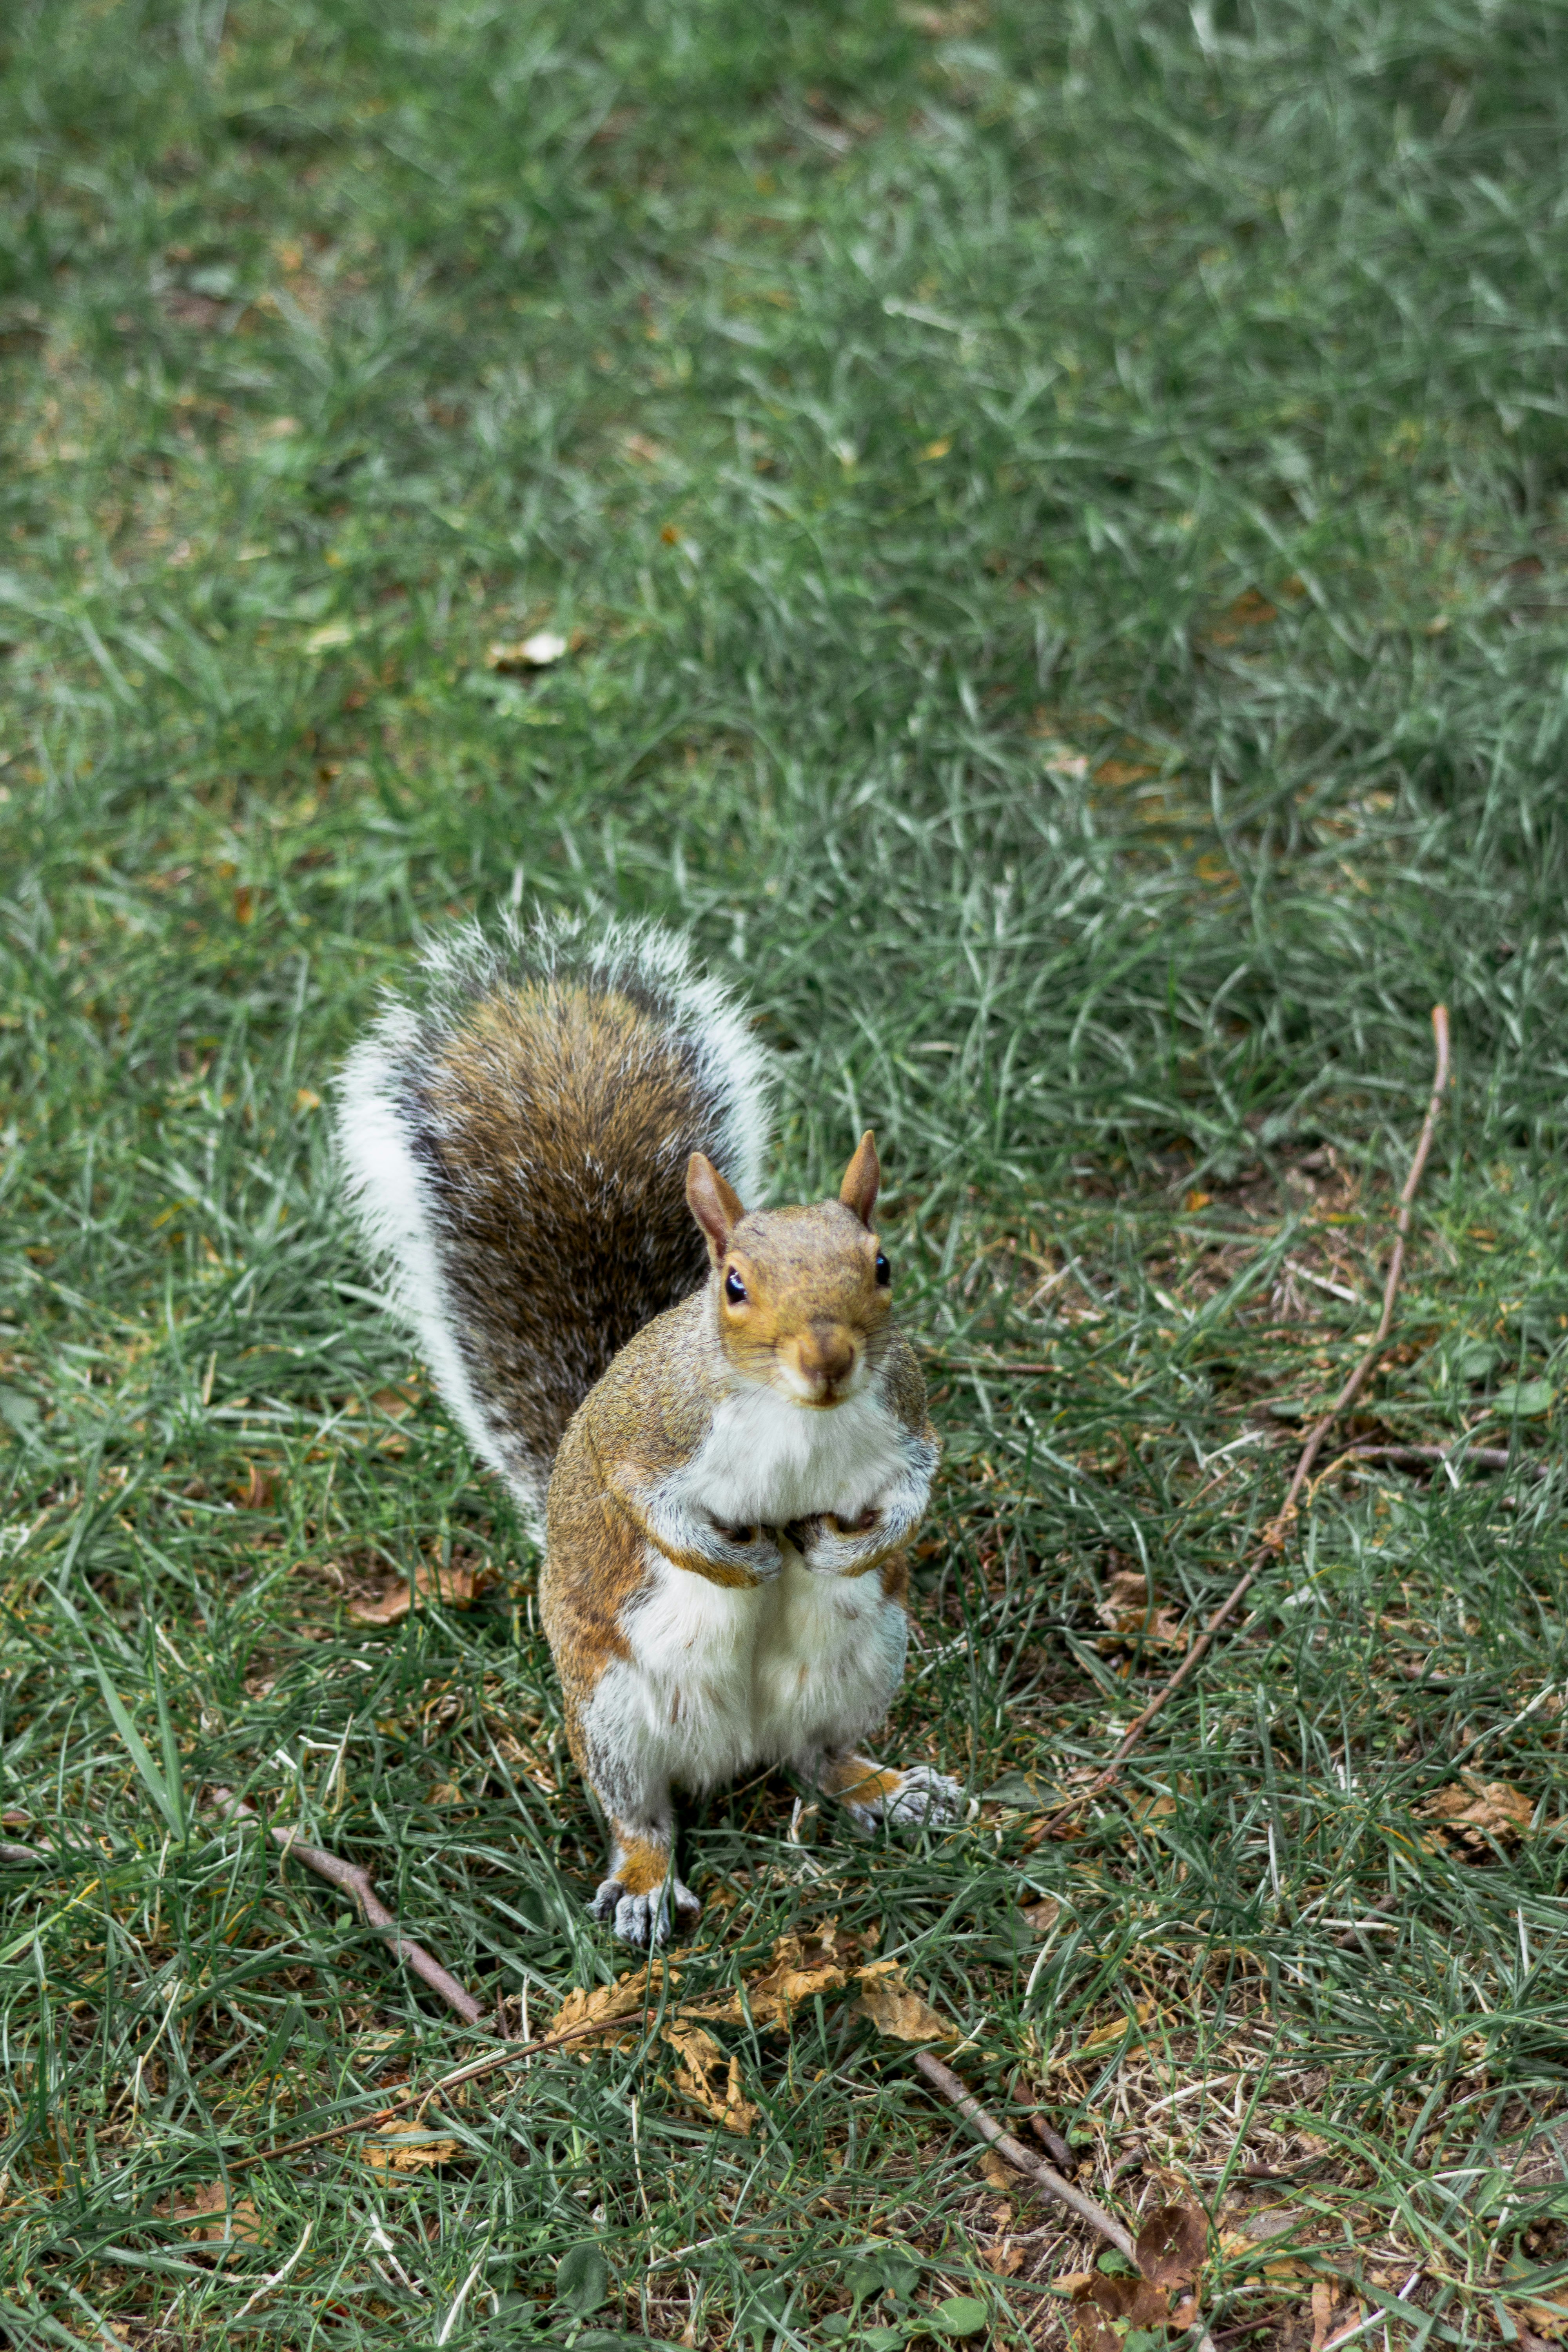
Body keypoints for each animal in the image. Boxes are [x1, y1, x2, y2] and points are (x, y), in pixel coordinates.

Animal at [338, 917, 964, 1947]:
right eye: (734, 1285)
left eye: (882, 1265)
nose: (828, 1361)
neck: (799, 1416)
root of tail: (740, 1745)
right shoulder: (645, 1444)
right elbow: (654, 1515)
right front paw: (740, 1564)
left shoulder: (906, 1422)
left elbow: (915, 1491)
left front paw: (852, 1548)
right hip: (611, 1712)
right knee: (641, 1813)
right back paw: (642, 1882)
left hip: (863, 1662)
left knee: (819, 1760)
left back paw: (890, 1789)